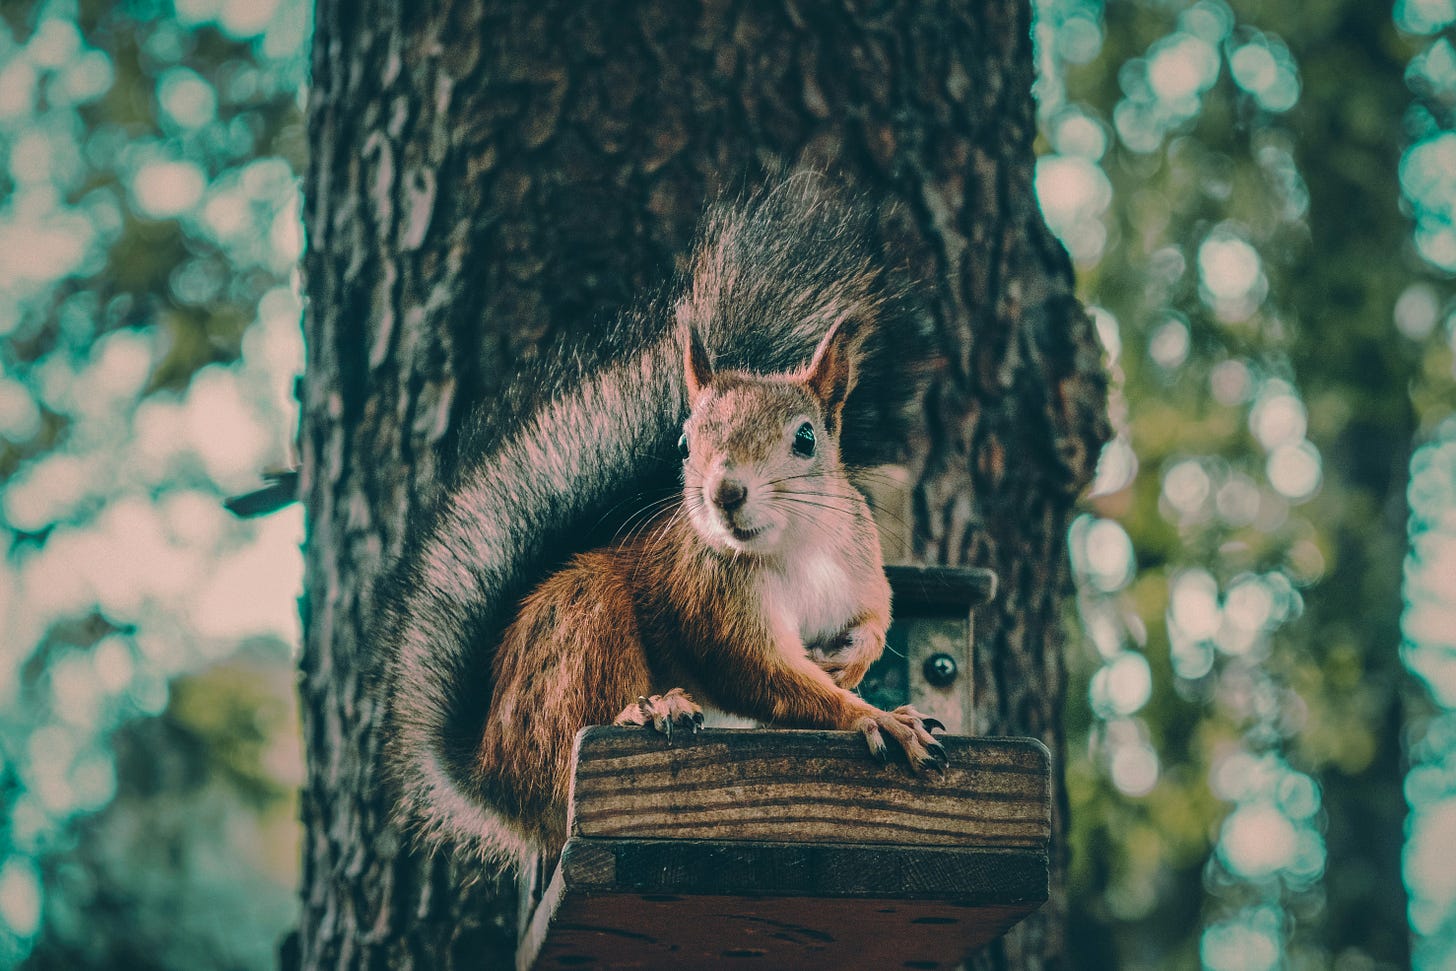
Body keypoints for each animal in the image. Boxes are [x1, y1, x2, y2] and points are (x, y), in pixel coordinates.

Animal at [378, 175, 936, 866]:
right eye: (685, 440)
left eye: (806, 439)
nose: (725, 492)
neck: (794, 549)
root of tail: (493, 776)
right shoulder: (712, 603)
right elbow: (762, 676)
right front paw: (873, 716)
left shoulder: (859, 564)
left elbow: (876, 618)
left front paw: (853, 664)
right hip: (581, 625)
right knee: (567, 742)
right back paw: (647, 712)